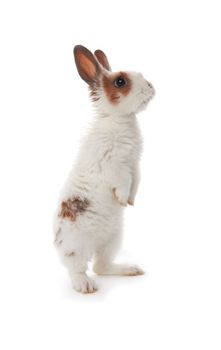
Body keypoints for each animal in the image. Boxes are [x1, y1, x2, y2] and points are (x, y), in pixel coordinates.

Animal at [53, 45, 155, 292]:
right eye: (120, 81)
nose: (150, 86)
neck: (119, 119)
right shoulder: (113, 165)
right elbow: (122, 182)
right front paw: (122, 199)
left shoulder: (135, 164)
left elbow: (136, 182)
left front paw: (130, 202)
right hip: (77, 245)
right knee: (78, 268)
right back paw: (85, 286)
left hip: (114, 240)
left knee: (101, 266)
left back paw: (131, 269)